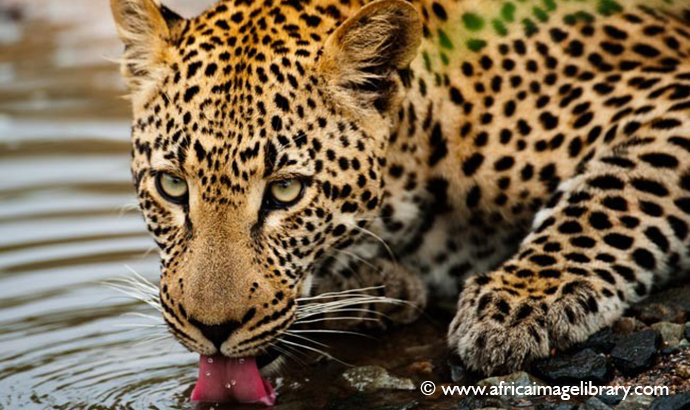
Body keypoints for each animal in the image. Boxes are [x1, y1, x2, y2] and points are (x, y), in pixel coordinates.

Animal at [110, 0, 688, 384]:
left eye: (286, 191)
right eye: (171, 185)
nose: (212, 330)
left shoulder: (670, 100)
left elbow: (612, 195)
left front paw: (517, 304)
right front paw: (383, 287)